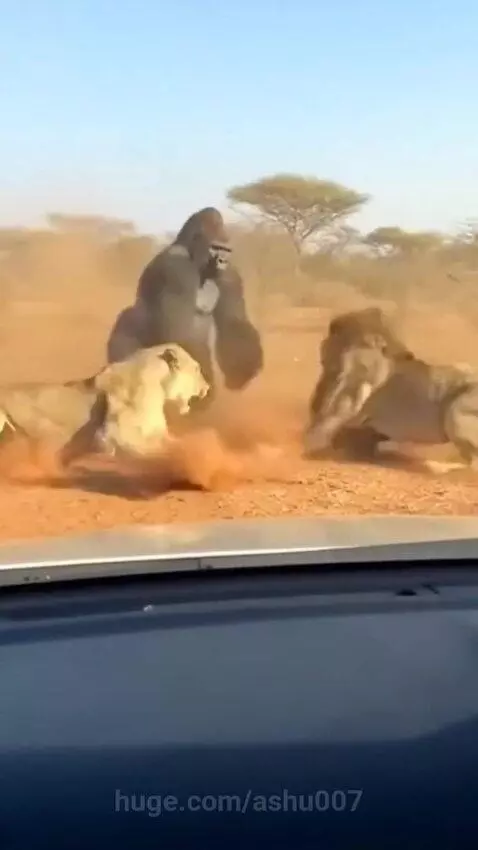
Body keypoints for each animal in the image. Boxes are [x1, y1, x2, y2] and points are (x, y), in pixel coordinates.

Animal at [0, 344, 209, 465]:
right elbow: (159, 450)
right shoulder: (111, 437)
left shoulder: (158, 432)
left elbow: (177, 442)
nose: (207, 387)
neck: (158, 386)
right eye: (197, 369)